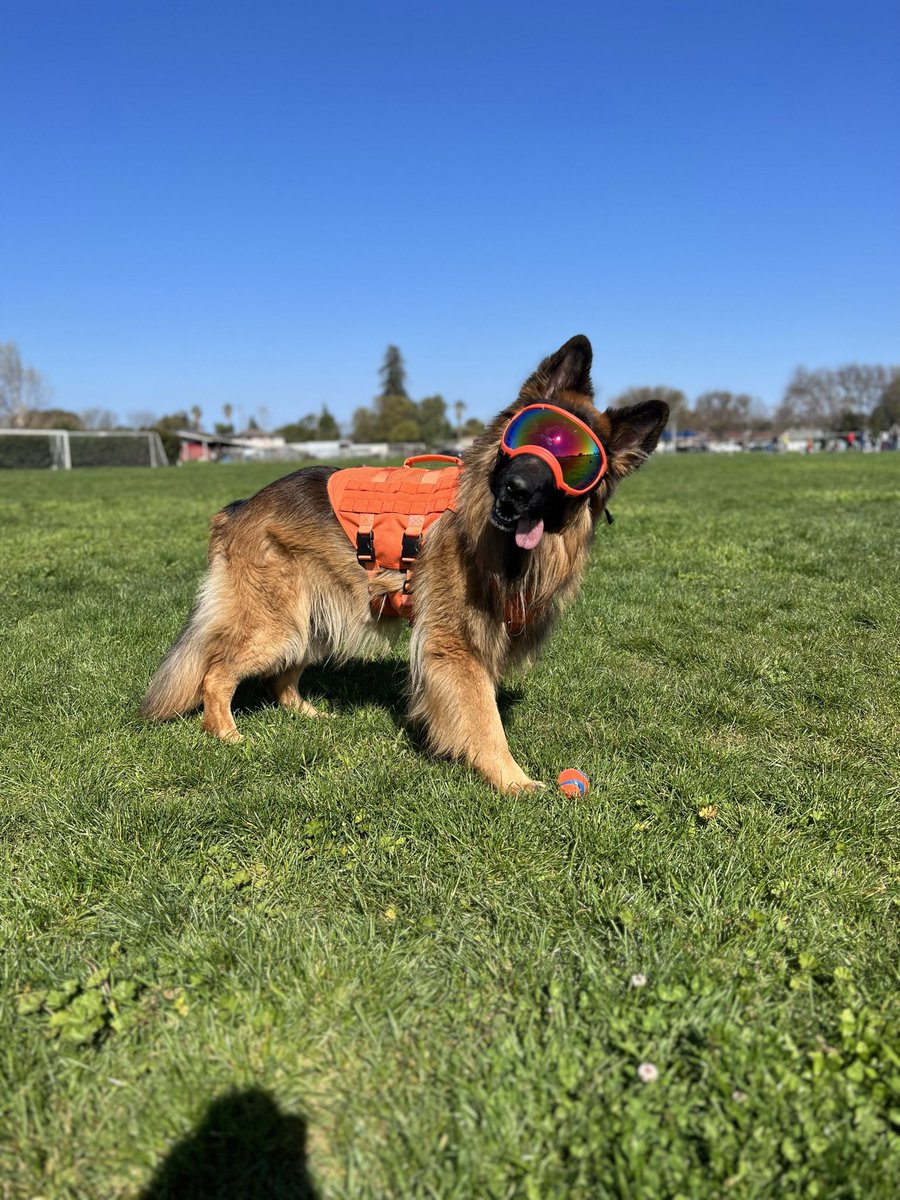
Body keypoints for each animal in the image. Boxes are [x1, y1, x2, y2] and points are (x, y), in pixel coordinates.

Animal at [142, 333, 672, 792]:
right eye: (526, 438)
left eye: (575, 463)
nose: (516, 490)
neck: (497, 543)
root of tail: (239, 507)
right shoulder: (455, 648)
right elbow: (485, 720)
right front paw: (513, 782)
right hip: (278, 625)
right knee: (216, 673)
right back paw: (227, 734)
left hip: (317, 621)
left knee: (279, 678)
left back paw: (309, 716)